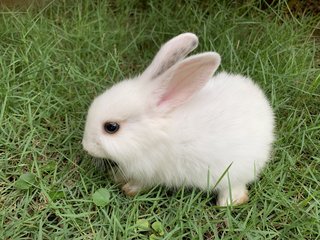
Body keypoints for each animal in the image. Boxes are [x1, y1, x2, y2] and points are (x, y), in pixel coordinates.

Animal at [83, 33, 276, 206]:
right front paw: (116, 177)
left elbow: (141, 183)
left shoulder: (150, 172)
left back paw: (227, 203)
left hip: (235, 172)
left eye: (111, 127)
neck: (149, 135)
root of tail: (265, 111)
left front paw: (129, 189)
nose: (86, 146)